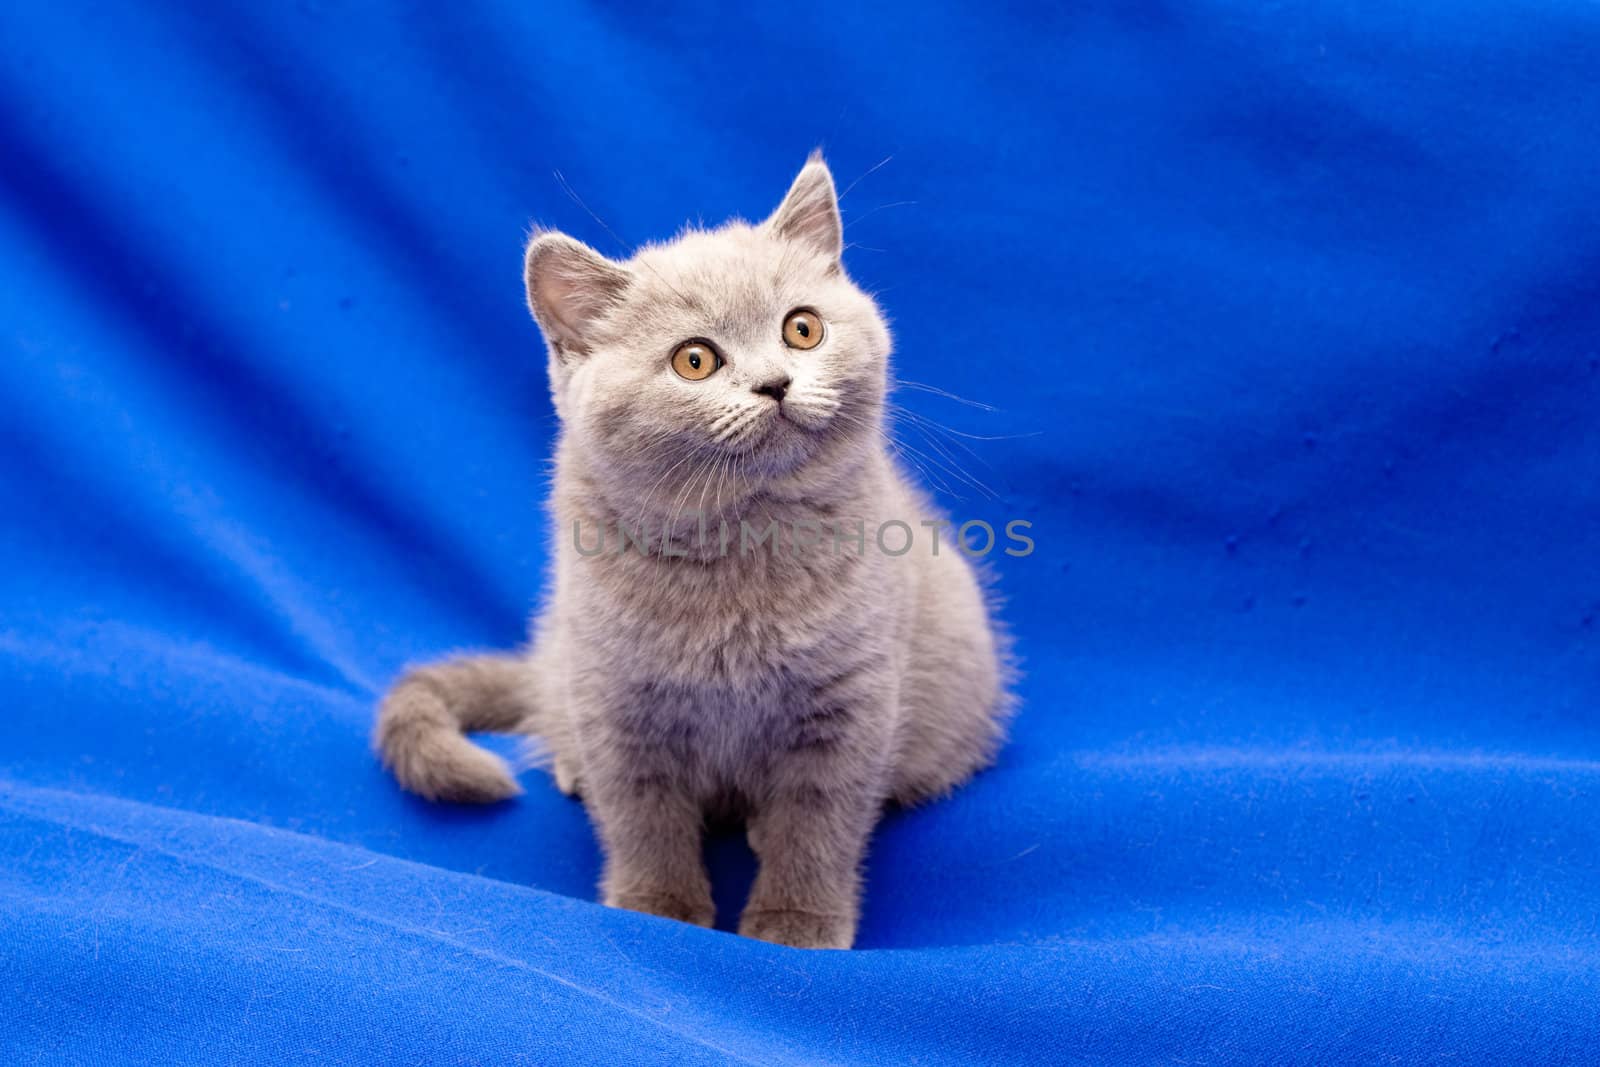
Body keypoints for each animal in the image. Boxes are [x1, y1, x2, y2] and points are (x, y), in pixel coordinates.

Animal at [374, 151, 1011, 953]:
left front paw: (795, 924)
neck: (738, 548)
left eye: (803, 328)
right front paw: (658, 906)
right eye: (696, 361)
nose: (775, 383)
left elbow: (819, 819)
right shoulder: (616, 701)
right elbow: (643, 817)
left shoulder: (852, 702)